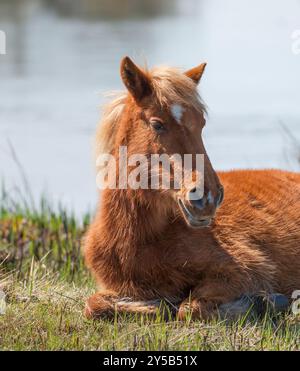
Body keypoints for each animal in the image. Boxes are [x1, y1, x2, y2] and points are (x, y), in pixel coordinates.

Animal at [82, 56, 300, 322]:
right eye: (157, 124)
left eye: (201, 124)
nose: (208, 198)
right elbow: (93, 305)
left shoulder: (243, 272)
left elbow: (188, 308)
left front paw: (266, 302)